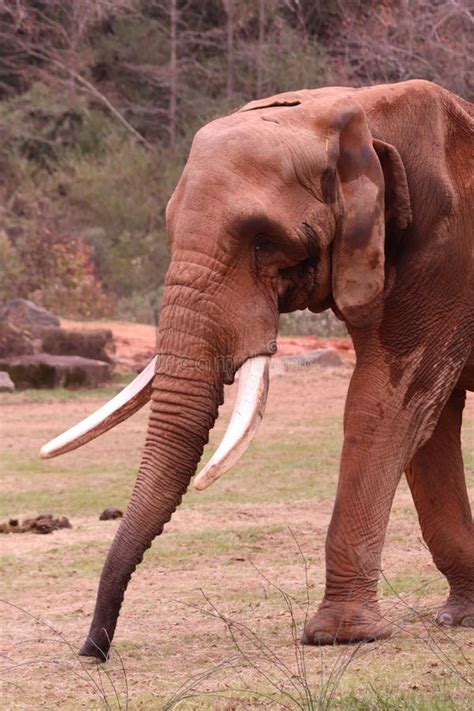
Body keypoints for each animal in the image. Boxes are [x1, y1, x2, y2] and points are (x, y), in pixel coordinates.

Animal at [41, 79, 474, 660]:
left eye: (264, 240)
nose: (93, 648)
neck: (363, 110)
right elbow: (428, 421)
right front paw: (461, 618)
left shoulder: (447, 253)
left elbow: (387, 403)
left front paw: (338, 636)